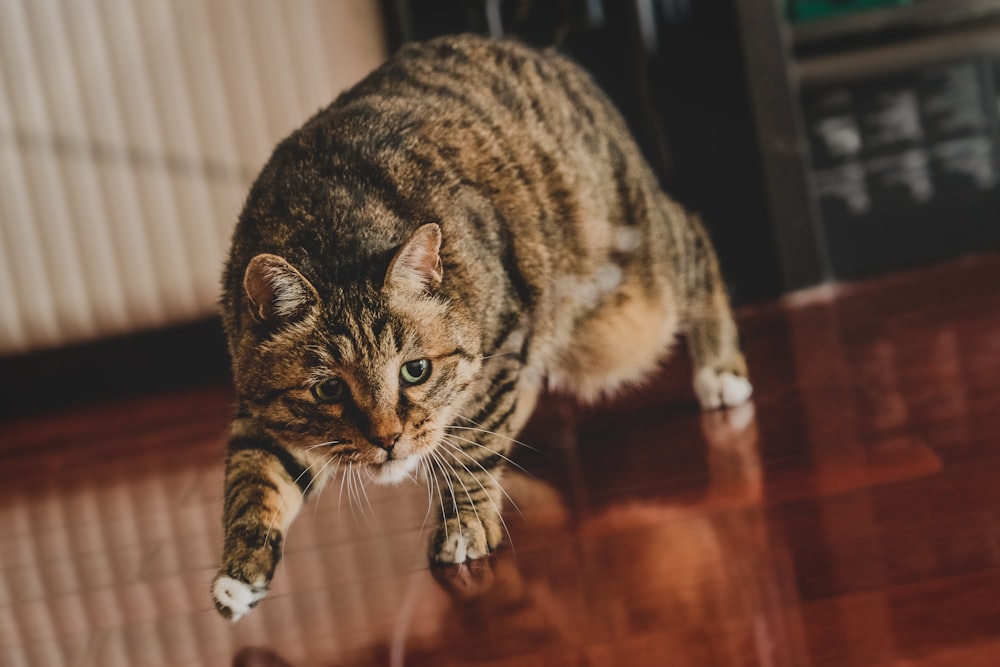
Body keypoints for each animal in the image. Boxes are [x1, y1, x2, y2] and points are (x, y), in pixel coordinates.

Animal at [213, 32, 752, 620]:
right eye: (329, 389)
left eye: (415, 371)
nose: (388, 440)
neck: (327, 232)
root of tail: (544, 53)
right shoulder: (260, 409)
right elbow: (254, 480)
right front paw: (239, 575)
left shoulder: (501, 345)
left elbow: (472, 448)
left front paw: (465, 524)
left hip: (629, 290)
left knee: (692, 237)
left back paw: (721, 371)